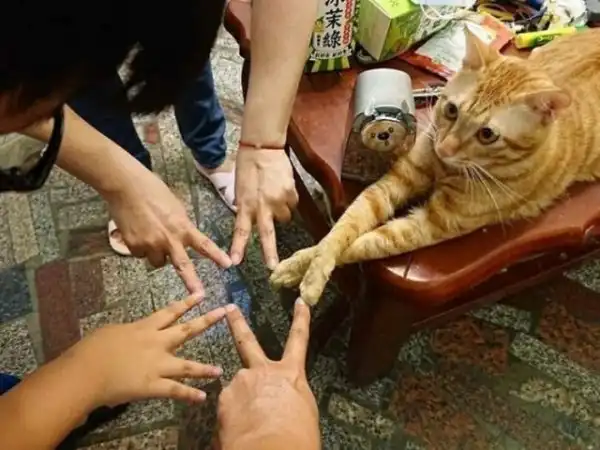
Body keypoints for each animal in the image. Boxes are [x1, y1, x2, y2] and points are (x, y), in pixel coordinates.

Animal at [270, 26, 600, 306]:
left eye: (487, 135)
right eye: (452, 110)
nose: (443, 148)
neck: (448, 169)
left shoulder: (431, 224)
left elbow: (362, 245)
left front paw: (305, 275)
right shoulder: (397, 180)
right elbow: (342, 229)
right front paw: (303, 265)